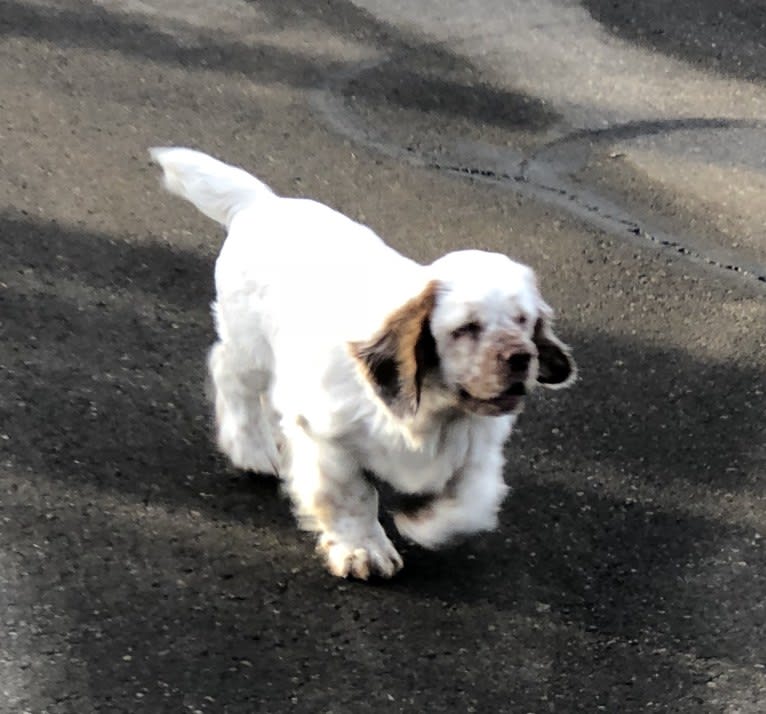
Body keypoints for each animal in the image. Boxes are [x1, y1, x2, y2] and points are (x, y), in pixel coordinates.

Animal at [153, 149, 576, 580]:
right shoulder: (328, 437)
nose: (522, 358)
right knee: (229, 374)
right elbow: (352, 496)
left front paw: (421, 525)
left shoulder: (479, 449)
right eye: (466, 329)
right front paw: (364, 550)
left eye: (523, 321)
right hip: (250, 347)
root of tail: (263, 203)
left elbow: (472, 501)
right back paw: (252, 450)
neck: (435, 411)